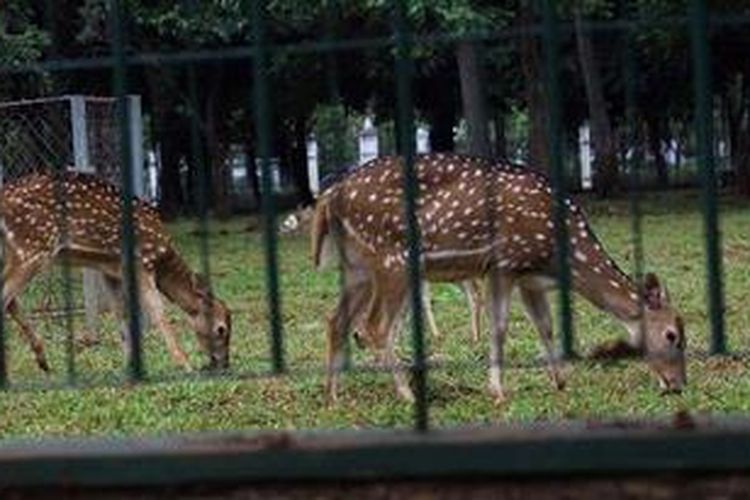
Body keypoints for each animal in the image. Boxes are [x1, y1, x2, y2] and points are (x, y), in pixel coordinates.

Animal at [0, 172, 232, 372]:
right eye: (221, 329)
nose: (224, 364)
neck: (162, 258)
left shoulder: (111, 270)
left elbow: (120, 312)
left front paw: (130, 365)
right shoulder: (142, 263)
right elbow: (158, 313)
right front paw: (185, 365)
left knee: (10, 300)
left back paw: (43, 361)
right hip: (32, 248)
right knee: (5, 297)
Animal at [314, 152, 692, 402]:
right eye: (672, 335)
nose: (678, 385)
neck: (559, 254)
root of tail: (328, 197)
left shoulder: (529, 280)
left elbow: (545, 326)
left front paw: (560, 380)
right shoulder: (505, 264)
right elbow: (500, 327)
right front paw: (497, 390)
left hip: (359, 268)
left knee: (336, 320)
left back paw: (332, 396)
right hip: (393, 260)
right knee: (373, 326)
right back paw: (406, 393)